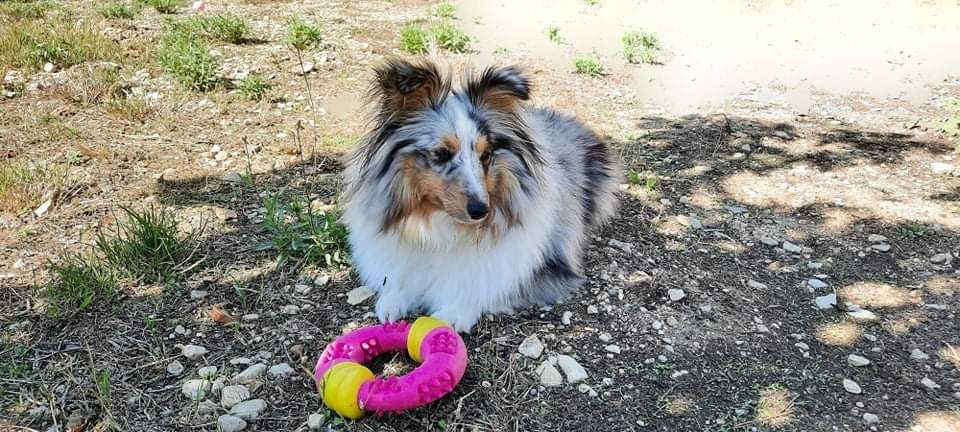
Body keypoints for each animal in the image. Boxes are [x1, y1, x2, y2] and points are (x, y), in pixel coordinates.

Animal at [342, 59, 620, 332]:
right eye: (441, 153)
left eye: (485, 155)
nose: (480, 211)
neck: (443, 228)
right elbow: (396, 281)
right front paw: (392, 302)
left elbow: (479, 290)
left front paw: (452, 314)